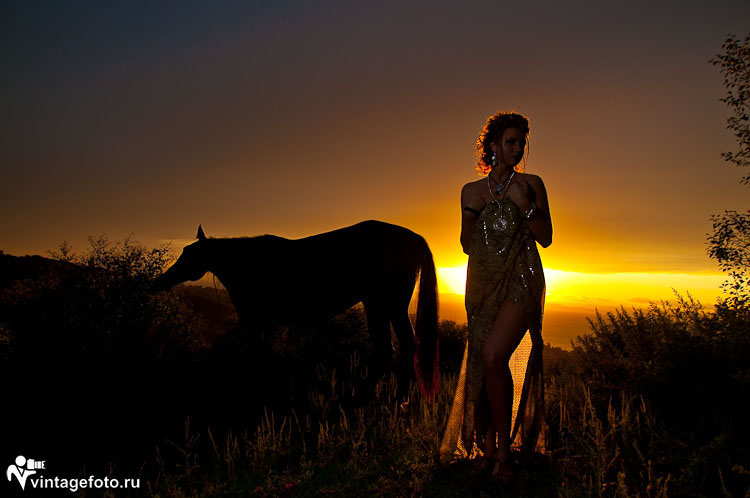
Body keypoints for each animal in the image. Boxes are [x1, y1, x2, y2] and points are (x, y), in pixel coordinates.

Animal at [150, 220, 439, 398]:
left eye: (188, 254)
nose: (158, 282)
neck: (247, 262)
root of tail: (413, 238)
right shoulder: (265, 322)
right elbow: (263, 352)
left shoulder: (254, 320)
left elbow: (255, 355)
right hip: (379, 305)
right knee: (391, 348)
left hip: (386, 305)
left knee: (399, 346)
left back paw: (390, 396)